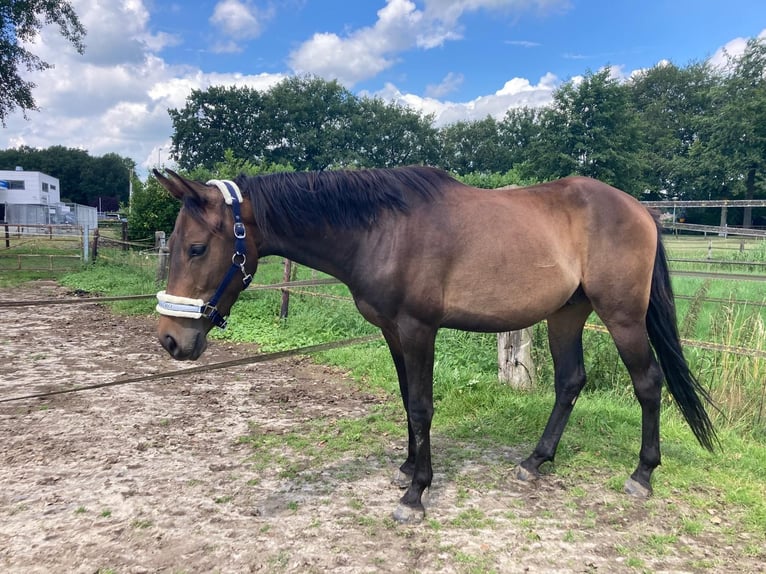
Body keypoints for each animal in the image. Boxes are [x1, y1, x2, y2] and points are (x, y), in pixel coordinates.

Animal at [154, 165, 720, 528]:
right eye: (177, 244)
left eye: (198, 247)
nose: (170, 339)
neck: (381, 229)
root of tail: (642, 211)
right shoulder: (391, 331)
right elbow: (407, 400)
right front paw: (408, 469)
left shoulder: (418, 329)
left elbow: (423, 406)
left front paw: (415, 495)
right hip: (567, 314)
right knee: (570, 382)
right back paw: (535, 461)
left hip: (622, 317)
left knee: (648, 384)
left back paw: (642, 475)